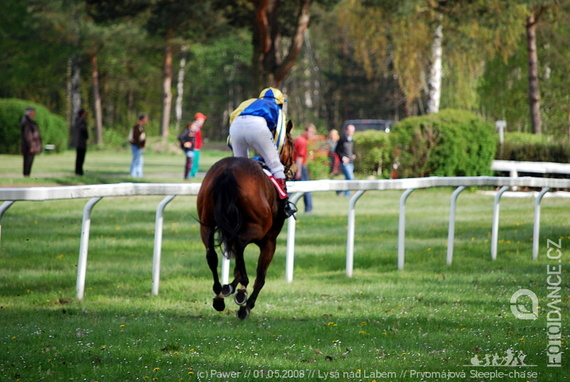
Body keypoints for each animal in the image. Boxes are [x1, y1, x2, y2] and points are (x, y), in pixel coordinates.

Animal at [195, 121, 292, 318]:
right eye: (292, 144)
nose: (292, 168)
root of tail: (227, 172)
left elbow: (236, 265)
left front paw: (228, 288)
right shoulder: (269, 240)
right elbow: (260, 276)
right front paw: (245, 305)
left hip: (206, 224)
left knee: (211, 254)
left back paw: (219, 295)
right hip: (257, 227)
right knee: (239, 245)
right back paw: (240, 292)